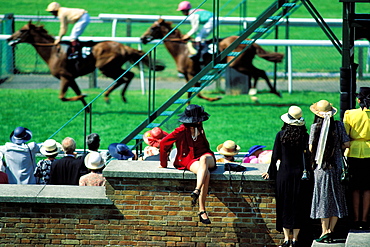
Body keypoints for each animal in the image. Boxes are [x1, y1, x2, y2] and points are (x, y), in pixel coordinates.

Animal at [7, 21, 165, 108]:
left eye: (22, 30)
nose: (9, 38)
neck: (53, 51)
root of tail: (123, 47)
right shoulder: (70, 78)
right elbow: (76, 95)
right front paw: (86, 106)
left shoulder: (65, 76)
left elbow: (63, 97)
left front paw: (85, 95)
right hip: (111, 67)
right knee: (128, 76)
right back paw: (119, 96)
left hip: (106, 67)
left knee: (124, 78)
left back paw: (110, 96)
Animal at [141, 18, 284, 100]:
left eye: (152, 28)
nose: (142, 38)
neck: (182, 50)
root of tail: (251, 43)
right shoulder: (187, 75)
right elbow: (190, 95)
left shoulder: (191, 73)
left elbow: (197, 94)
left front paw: (215, 98)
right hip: (245, 63)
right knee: (259, 73)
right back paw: (257, 92)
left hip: (239, 64)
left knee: (259, 72)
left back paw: (271, 92)